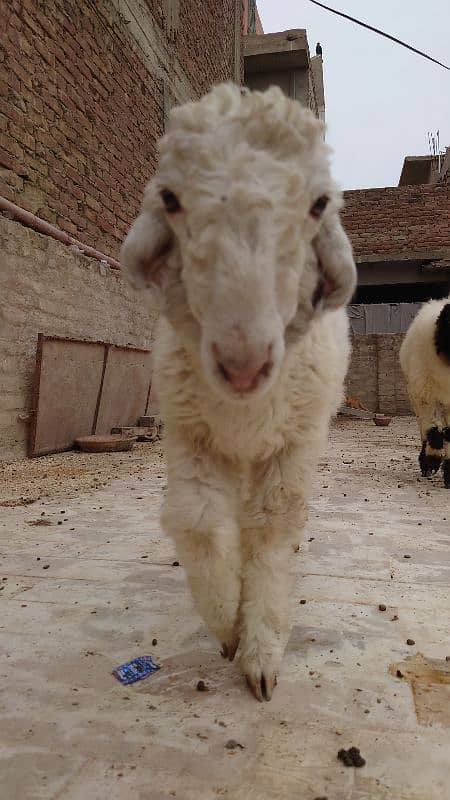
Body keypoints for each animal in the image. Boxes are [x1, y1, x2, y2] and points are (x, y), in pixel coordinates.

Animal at [121, 83, 356, 700]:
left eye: (319, 204)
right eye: (170, 198)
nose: (244, 365)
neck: (247, 406)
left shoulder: (295, 442)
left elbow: (272, 525)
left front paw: (260, 648)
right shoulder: (190, 433)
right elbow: (198, 522)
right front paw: (227, 625)